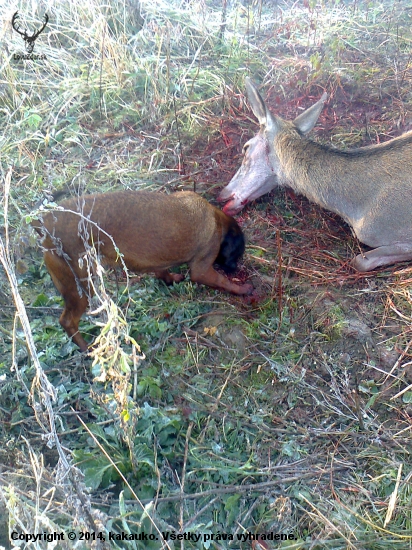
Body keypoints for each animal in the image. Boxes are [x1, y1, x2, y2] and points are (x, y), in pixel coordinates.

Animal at [33, 192, 251, 352]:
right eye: (236, 255)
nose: (235, 269)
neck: (216, 219)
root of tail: (43, 224)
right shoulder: (202, 269)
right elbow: (223, 282)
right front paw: (241, 289)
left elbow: (162, 271)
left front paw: (171, 279)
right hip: (81, 286)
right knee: (67, 321)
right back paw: (87, 349)